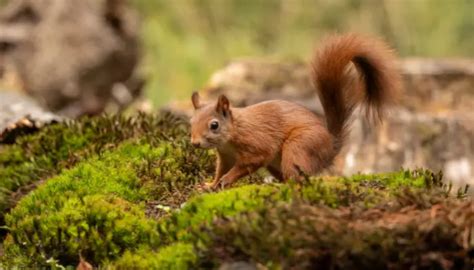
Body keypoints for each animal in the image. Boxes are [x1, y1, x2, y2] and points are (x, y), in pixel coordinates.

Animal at [189, 33, 400, 190]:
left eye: (214, 125)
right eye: (191, 122)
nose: (195, 143)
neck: (233, 132)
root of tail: (330, 146)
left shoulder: (256, 144)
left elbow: (249, 163)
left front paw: (226, 180)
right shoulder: (225, 156)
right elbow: (220, 170)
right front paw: (210, 185)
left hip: (299, 146)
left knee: (297, 178)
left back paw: (282, 186)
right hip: (277, 162)